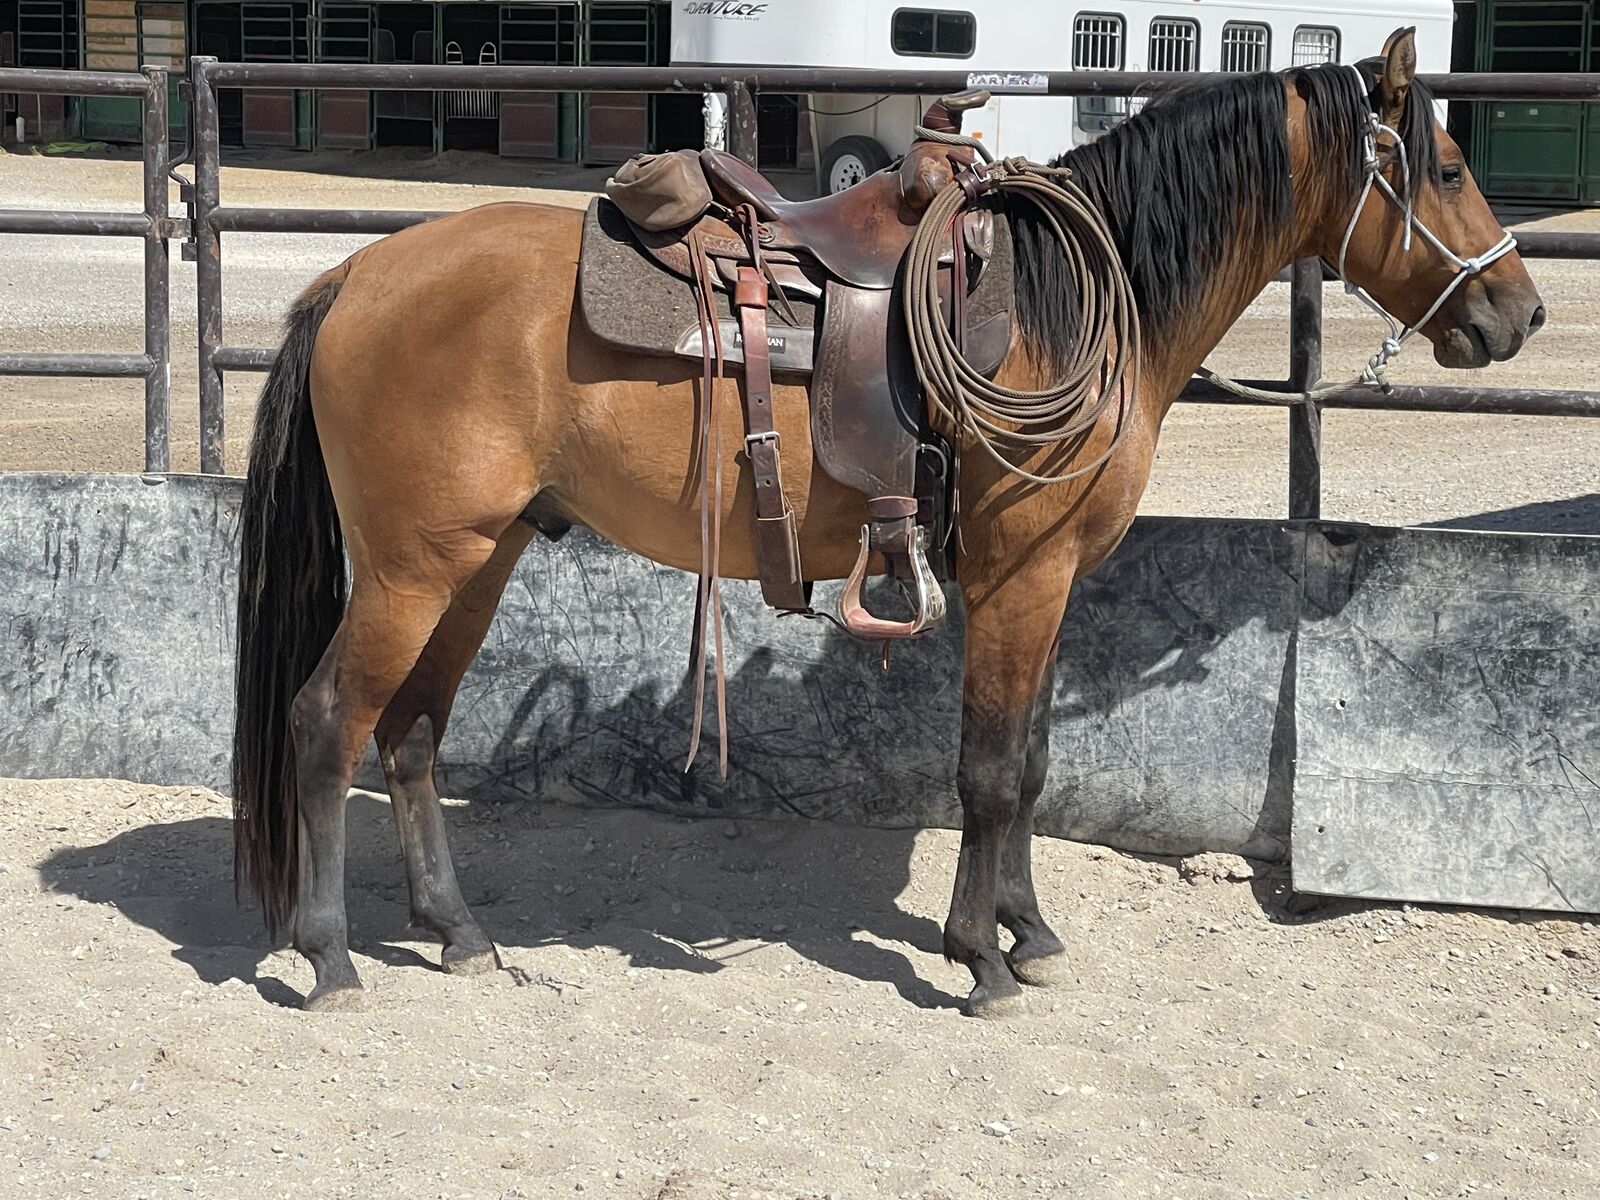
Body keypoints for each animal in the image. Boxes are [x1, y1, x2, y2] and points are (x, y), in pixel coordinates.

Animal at [231, 30, 1545, 1015]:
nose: (1520, 313)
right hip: (413, 568)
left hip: (480, 559)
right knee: (325, 720)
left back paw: (456, 933)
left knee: (409, 732)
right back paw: (331, 955)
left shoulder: (1048, 584)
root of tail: (356, 275)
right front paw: (979, 960)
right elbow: (992, 772)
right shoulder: (1020, 578)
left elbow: (1032, 760)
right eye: (1440, 167)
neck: (1083, 295)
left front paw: (1028, 932)